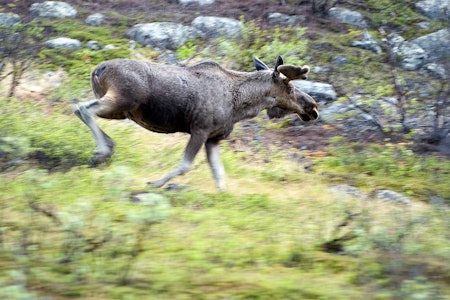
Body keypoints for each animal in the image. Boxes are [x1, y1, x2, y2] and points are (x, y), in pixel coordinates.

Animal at [74, 56, 318, 191]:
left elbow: (219, 175)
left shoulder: (214, 139)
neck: (239, 106)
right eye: (290, 87)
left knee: (79, 109)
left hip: (120, 111)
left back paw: (107, 147)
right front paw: (155, 183)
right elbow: (185, 165)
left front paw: (223, 196)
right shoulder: (200, 129)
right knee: (84, 108)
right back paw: (103, 151)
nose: (313, 107)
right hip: (122, 99)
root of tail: (97, 69)